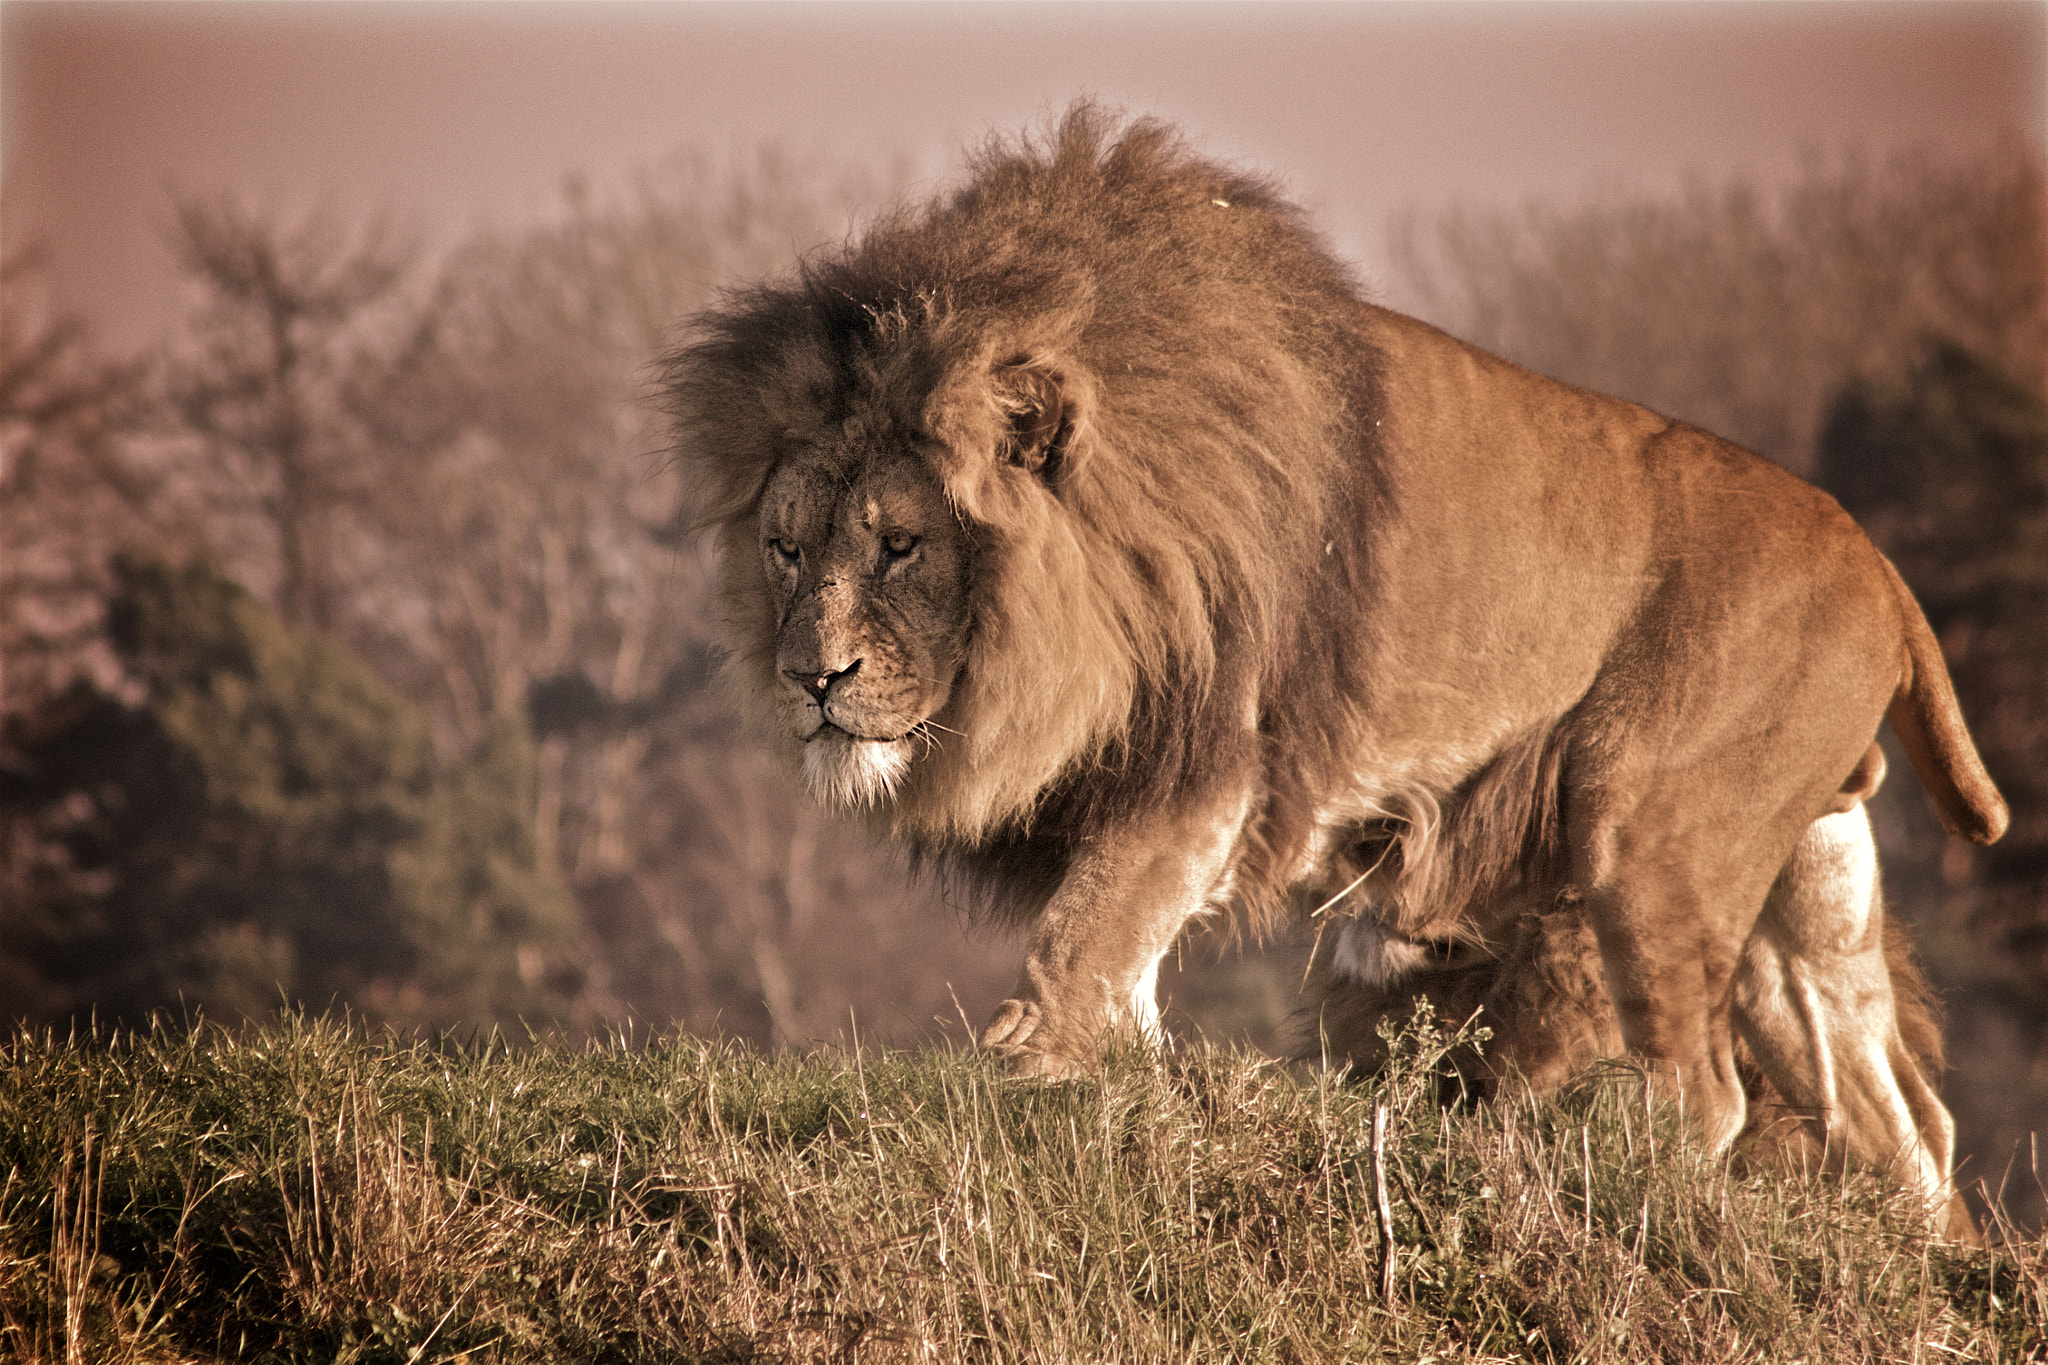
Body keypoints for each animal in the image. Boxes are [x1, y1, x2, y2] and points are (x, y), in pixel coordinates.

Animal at [663, 101, 2007, 1219]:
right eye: (785, 550)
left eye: (899, 548)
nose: (810, 680)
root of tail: (1879, 566)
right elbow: (1124, 968)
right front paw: (1127, 1088)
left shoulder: (1213, 751)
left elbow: (1087, 931)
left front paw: (1027, 1075)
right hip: (1802, 891)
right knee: (1897, 1123)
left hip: (1650, 828)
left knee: (1707, 1095)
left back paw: (1598, 1180)